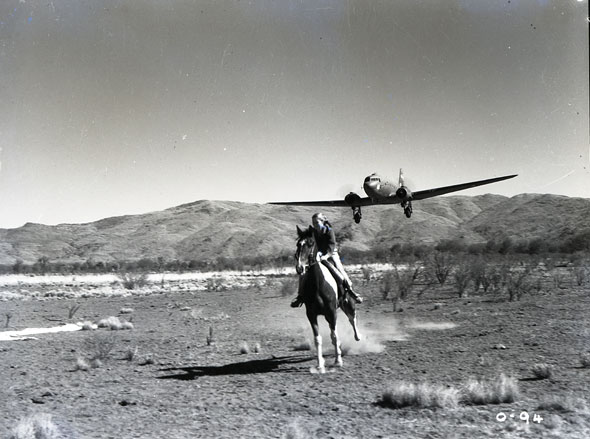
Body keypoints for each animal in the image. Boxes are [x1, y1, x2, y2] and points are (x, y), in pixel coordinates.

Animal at [294, 225, 361, 373]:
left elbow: (335, 336)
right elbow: (318, 339)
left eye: (310, 243)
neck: (318, 284)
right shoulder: (311, 314)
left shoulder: (332, 312)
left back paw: (358, 336)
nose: (300, 268)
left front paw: (338, 361)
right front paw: (320, 364)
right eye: (298, 244)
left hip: (347, 304)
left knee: (352, 318)